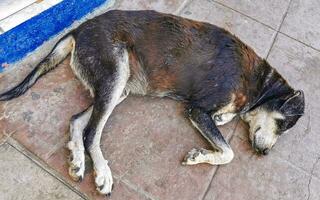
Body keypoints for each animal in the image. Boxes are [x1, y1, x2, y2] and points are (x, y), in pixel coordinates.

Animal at [0, 10, 304, 196]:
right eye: (283, 124)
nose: (265, 155)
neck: (258, 83)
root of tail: (78, 30)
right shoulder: (196, 110)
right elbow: (228, 152)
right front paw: (200, 155)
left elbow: (228, 121)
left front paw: (224, 118)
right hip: (115, 76)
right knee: (91, 133)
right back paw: (102, 173)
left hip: (118, 88)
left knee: (76, 120)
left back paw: (76, 162)